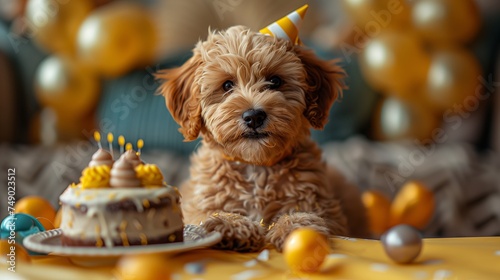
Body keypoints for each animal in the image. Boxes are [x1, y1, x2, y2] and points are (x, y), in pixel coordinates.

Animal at [158, 25, 370, 252]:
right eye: (227, 85)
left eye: (275, 81)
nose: (253, 116)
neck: (256, 166)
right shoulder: (198, 204)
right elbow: (206, 215)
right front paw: (232, 224)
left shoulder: (326, 208)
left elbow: (310, 214)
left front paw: (295, 227)